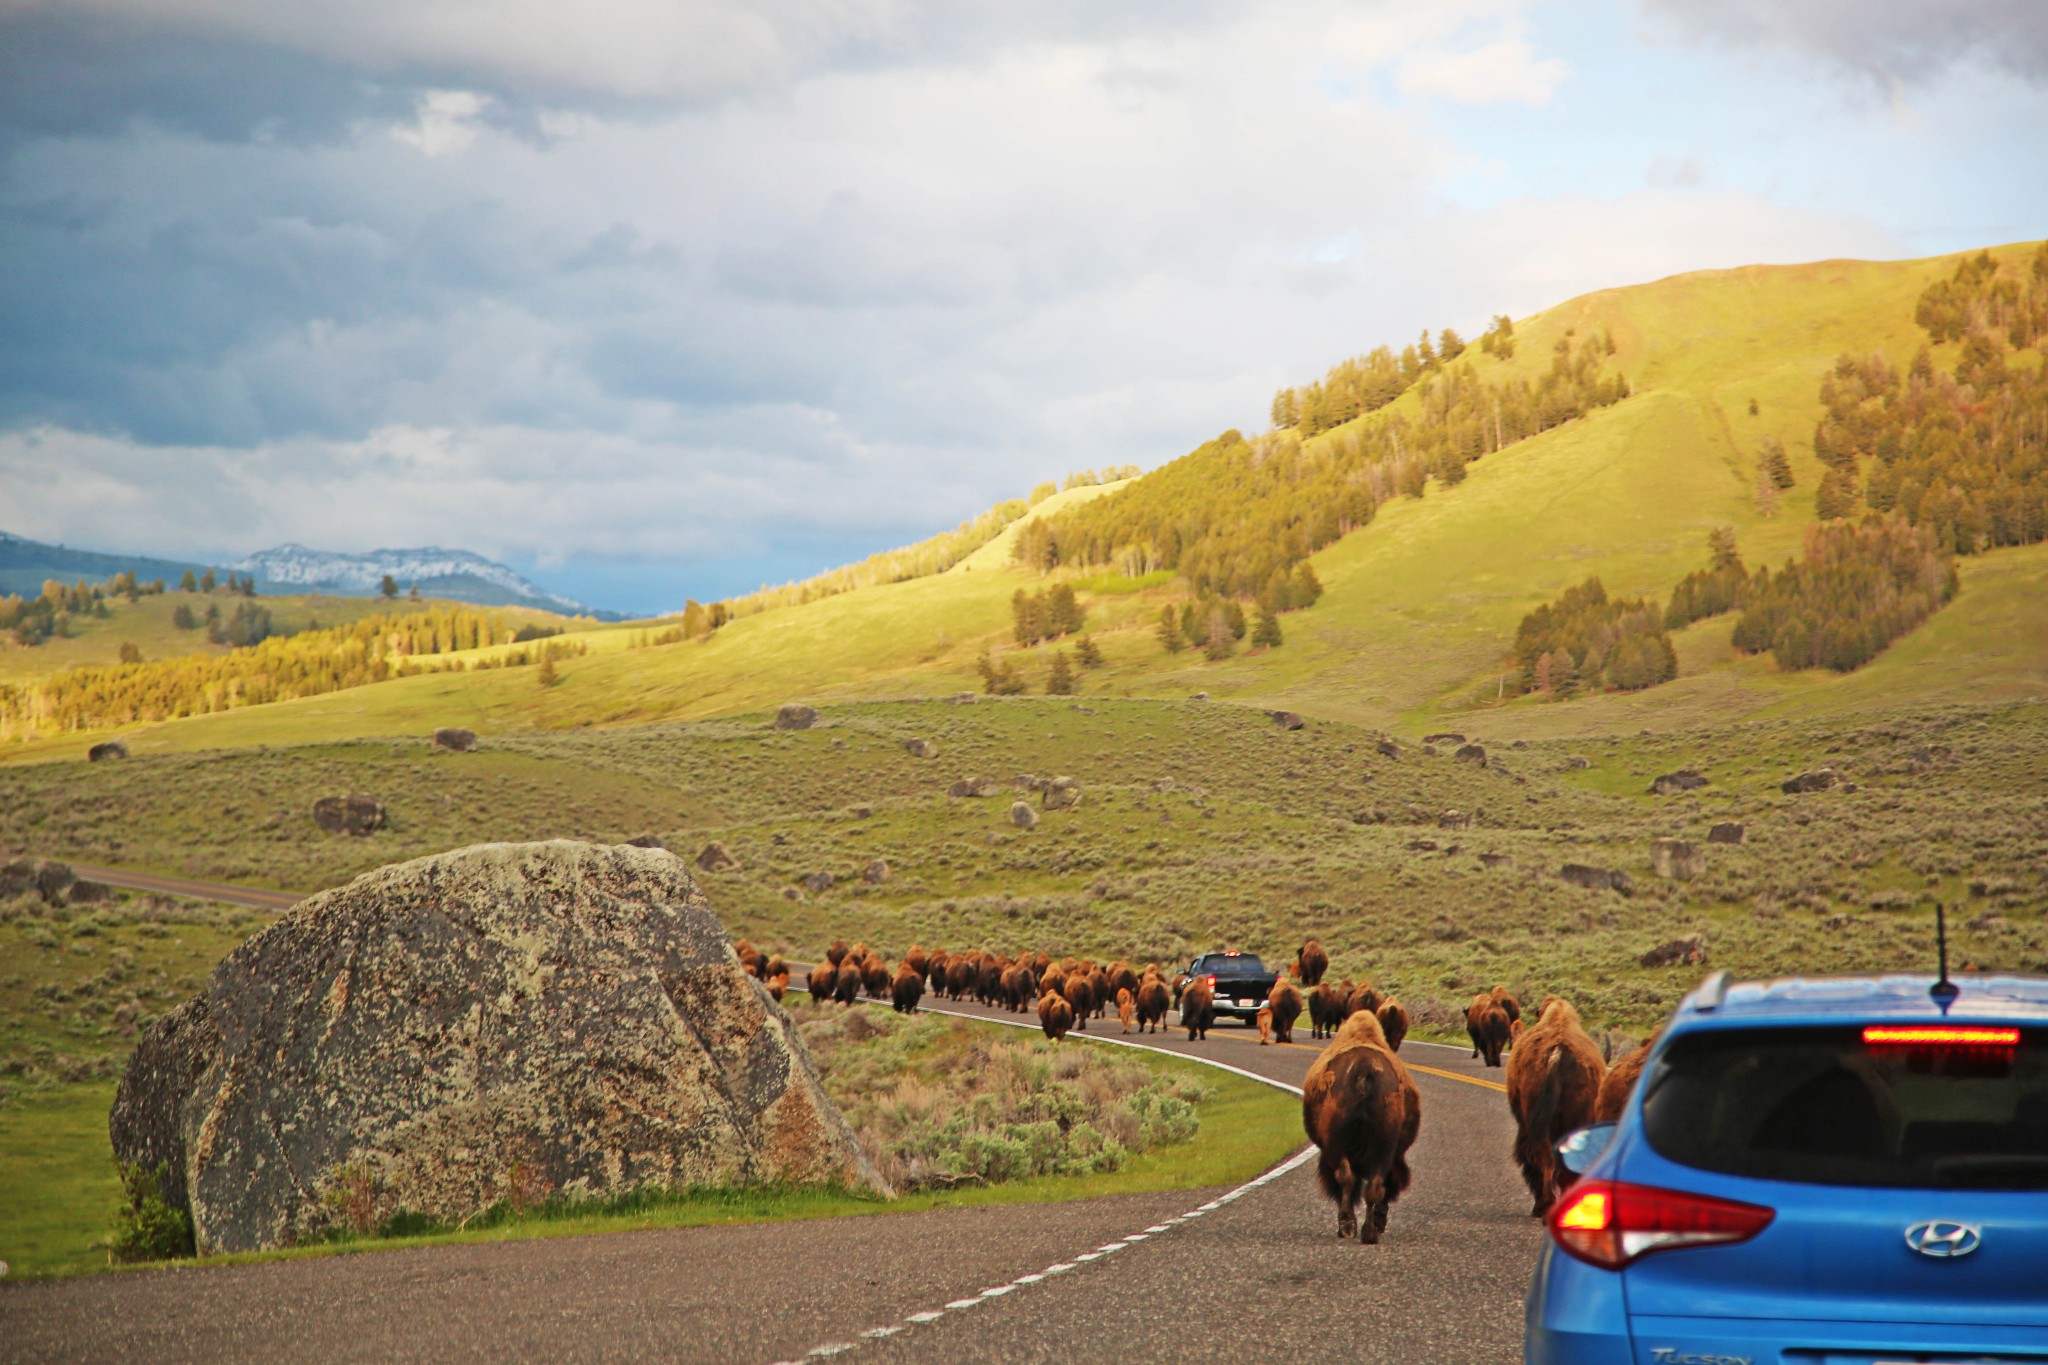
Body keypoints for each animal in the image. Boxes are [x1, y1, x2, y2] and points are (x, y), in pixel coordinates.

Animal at [1302, 1010, 1417, 1244]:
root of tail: (1364, 1069)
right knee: (1369, 1185)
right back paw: (1368, 1231)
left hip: (1342, 1148)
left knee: (1349, 1180)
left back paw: (1350, 1227)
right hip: (1380, 1147)